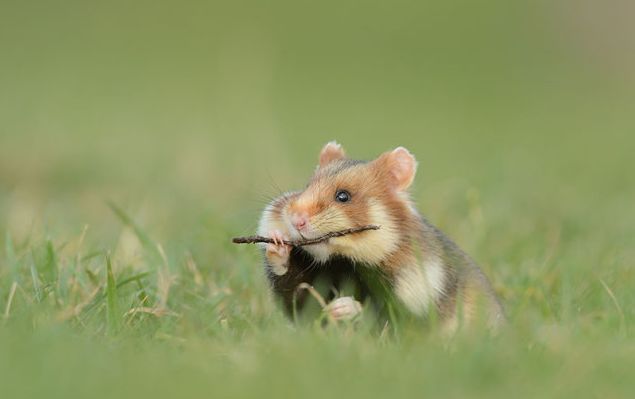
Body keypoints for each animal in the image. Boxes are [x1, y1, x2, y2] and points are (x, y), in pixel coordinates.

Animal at [256, 142, 504, 332]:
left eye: (343, 196)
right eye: (307, 186)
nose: (295, 218)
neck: (344, 261)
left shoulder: (417, 297)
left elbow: (385, 314)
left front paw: (341, 308)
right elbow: (295, 297)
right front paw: (277, 243)